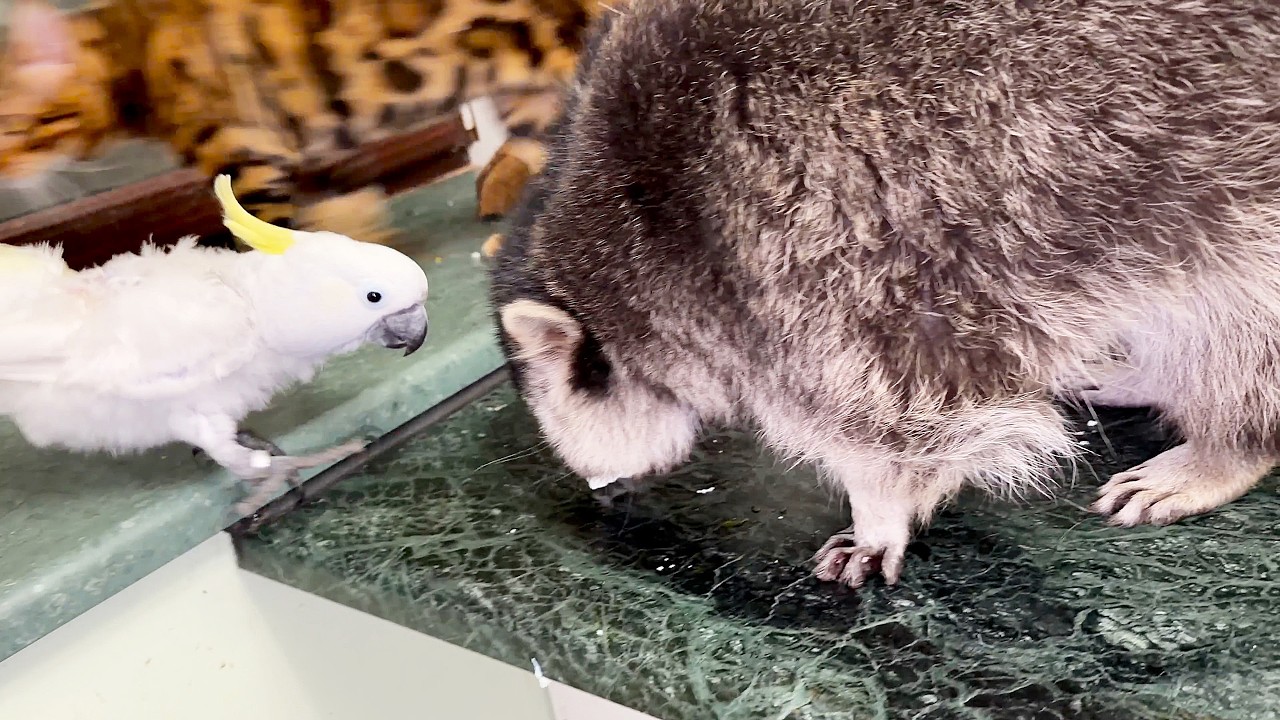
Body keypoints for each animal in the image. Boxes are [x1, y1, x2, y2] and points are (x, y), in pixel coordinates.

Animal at [489, 0, 1280, 588]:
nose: (600, 491)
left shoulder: (814, 265)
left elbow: (906, 420)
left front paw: (880, 510)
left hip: (1229, 203)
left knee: (1237, 324)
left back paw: (1228, 443)